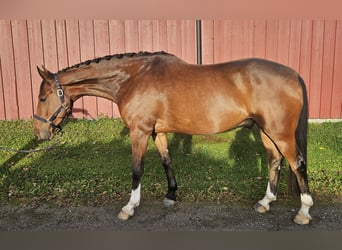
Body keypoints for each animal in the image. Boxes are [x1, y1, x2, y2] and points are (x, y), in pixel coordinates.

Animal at [34, 50, 312, 225]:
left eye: (43, 97)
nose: (39, 133)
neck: (133, 78)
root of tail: (293, 74)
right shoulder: (158, 132)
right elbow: (167, 161)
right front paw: (171, 195)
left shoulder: (139, 131)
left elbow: (137, 169)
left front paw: (129, 207)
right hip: (266, 132)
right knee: (275, 161)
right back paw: (265, 202)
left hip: (280, 133)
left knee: (297, 164)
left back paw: (304, 211)